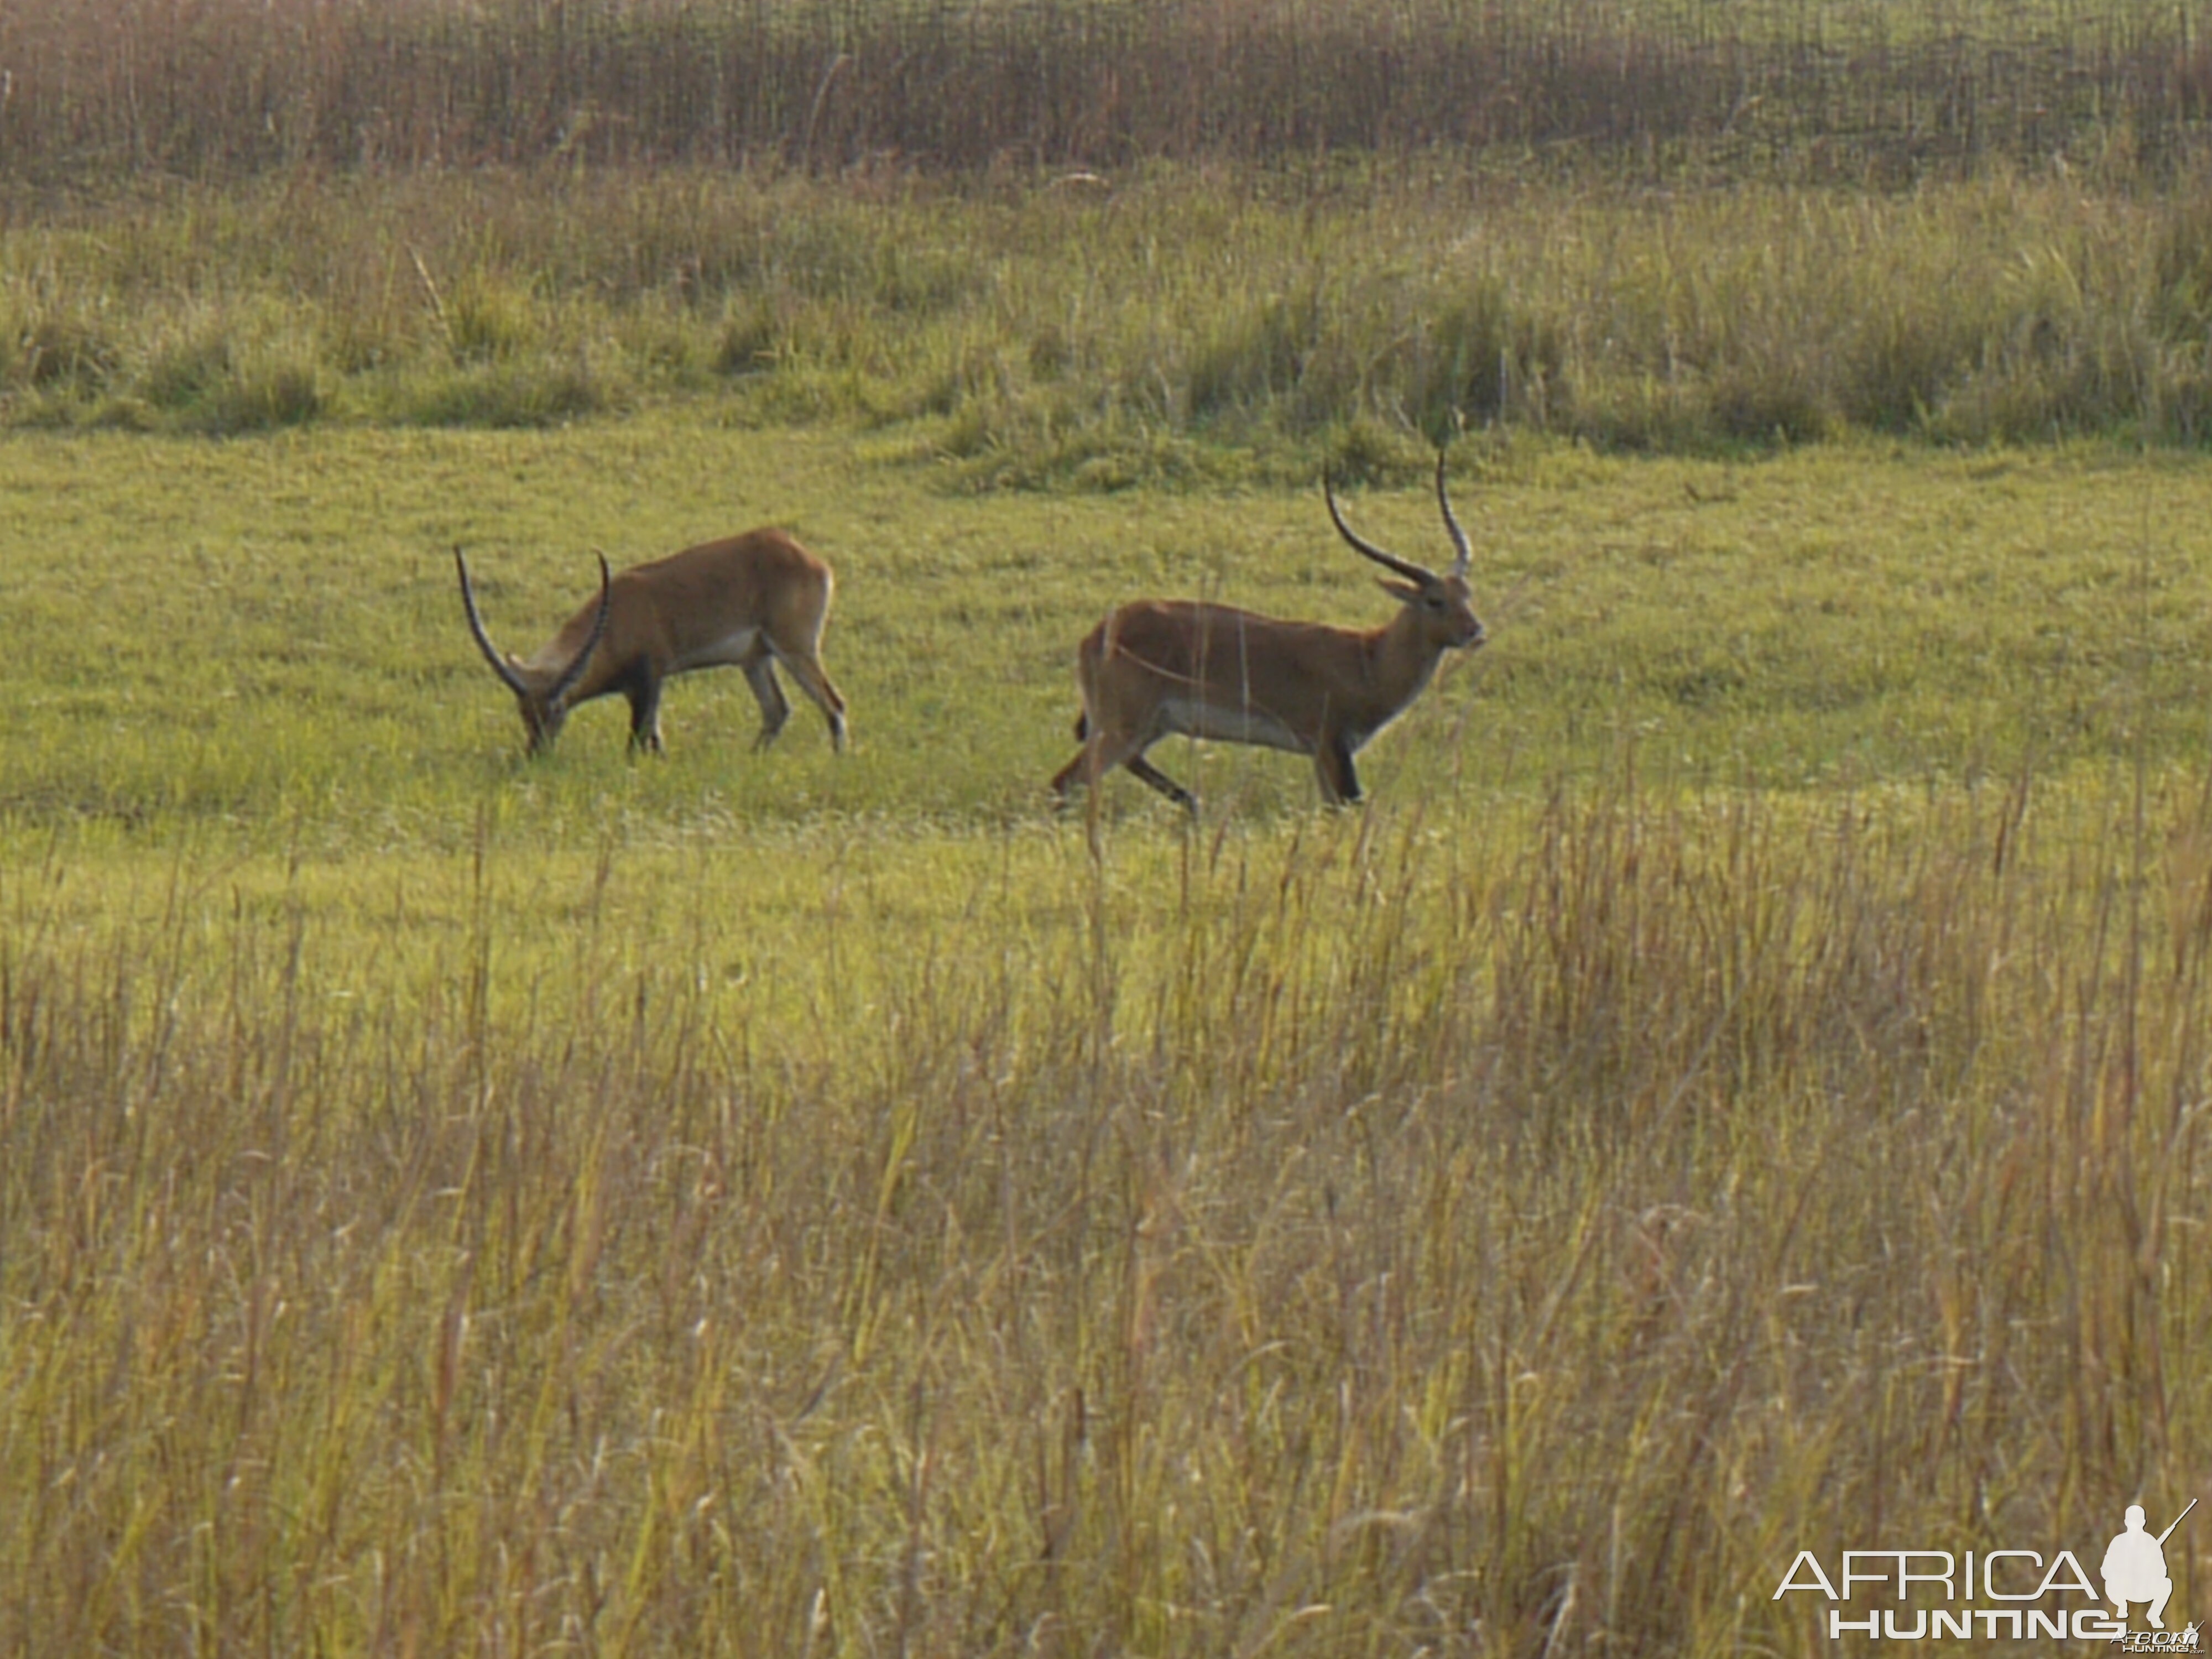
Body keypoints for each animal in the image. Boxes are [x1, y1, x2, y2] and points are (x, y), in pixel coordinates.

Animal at [456, 529, 845, 757]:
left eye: (557, 710)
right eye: (523, 712)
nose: (536, 754)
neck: (615, 620)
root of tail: (806, 555)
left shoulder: (650, 681)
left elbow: (639, 742)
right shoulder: (636, 689)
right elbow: (656, 742)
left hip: (795, 649)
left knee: (833, 704)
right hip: (755, 660)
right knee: (777, 711)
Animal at [1053, 451, 1486, 814]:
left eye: (1466, 593)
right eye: (1434, 600)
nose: (1476, 632)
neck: (1367, 659)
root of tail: (1100, 632)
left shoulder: (1324, 755)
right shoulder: (1330, 746)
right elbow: (1345, 807)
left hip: (1148, 727)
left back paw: (1194, 803)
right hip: (1123, 726)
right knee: (1066, 782)